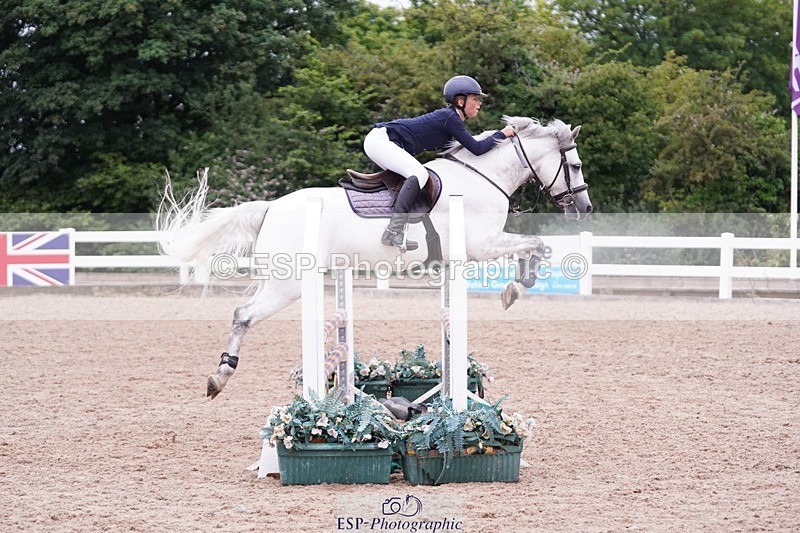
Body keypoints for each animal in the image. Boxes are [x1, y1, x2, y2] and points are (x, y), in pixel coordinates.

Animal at [156, 116, 592, 399]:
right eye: (574, 165)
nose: (584, 208)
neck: (483, 178)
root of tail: (270, 208)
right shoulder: (482, 244)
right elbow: (537, 243)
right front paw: (517, 287)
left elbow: (536, 245)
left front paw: (519, 284)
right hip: (290, 284)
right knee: (244, 315)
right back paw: (220, 376)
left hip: (280, 279)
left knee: (241, 311)